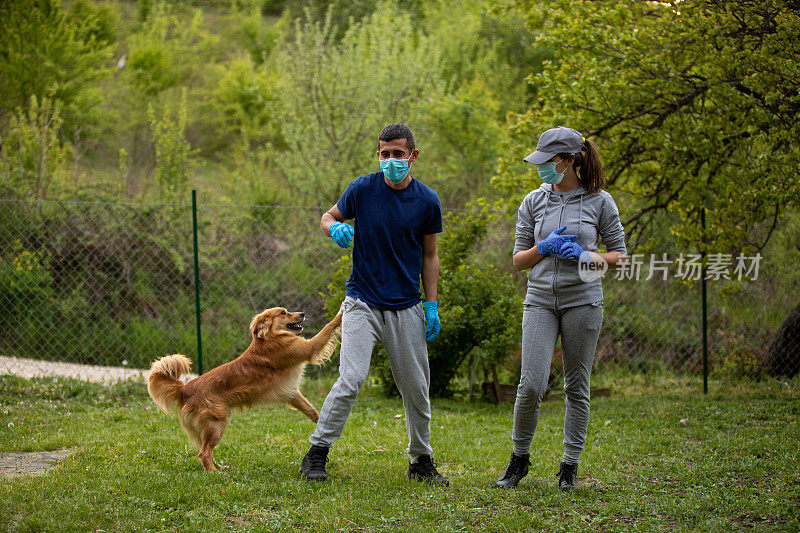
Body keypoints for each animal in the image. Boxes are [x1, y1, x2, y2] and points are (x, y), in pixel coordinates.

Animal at [147, 308, 340, 470]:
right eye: (283, 313)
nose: (302, 313)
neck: (269, 338)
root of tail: (185, 388)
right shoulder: (308, 348)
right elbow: (328, 326)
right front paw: (341, 312)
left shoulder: (291, 393)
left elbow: (311, 410)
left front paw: (321, 421)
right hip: (217, 424)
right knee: (204, 453)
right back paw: (214, 473)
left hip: (212, 427)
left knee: (207, 450)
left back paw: (220, 468)